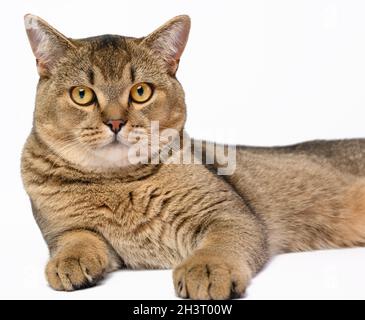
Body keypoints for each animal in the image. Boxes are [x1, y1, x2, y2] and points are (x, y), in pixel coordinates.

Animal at [20, 14, 365, 300]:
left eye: (141, 91)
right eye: (82, 95)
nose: (115, 122)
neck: (118, 185)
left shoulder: (230, 213)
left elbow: (220, 244)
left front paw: (208, 269)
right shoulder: (62, 230)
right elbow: (77, 239)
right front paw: (69, 261)